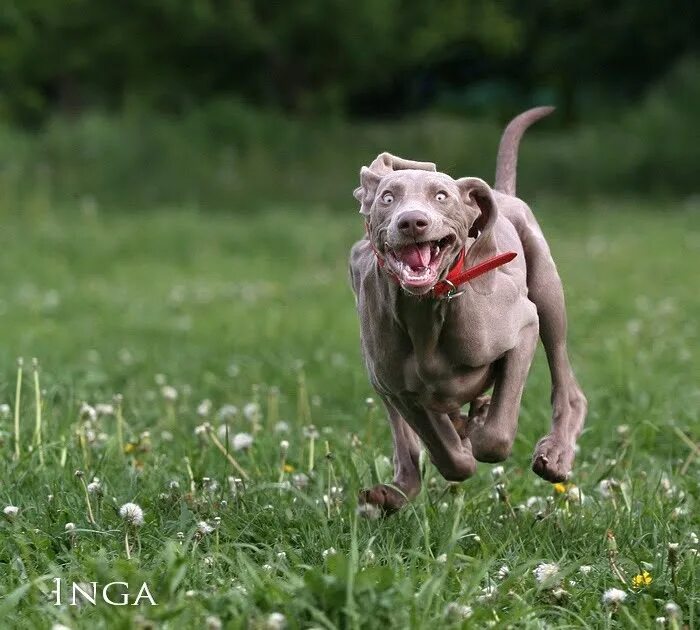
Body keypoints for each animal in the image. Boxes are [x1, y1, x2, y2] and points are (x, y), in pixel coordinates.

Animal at [350, 107, 584, 512]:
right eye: (388, 198)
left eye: (441, 196)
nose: (412, 222)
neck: (427, 311)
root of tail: (502, 193)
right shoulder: (398, 387)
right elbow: (448, 456)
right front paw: (461, 438)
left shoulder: (524, 327)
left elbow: (495, 436)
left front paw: (480, 426)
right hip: (378, 378)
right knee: (408, 443)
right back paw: (395, 491)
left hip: (549, 295)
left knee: (567, 385)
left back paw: (553, 455)